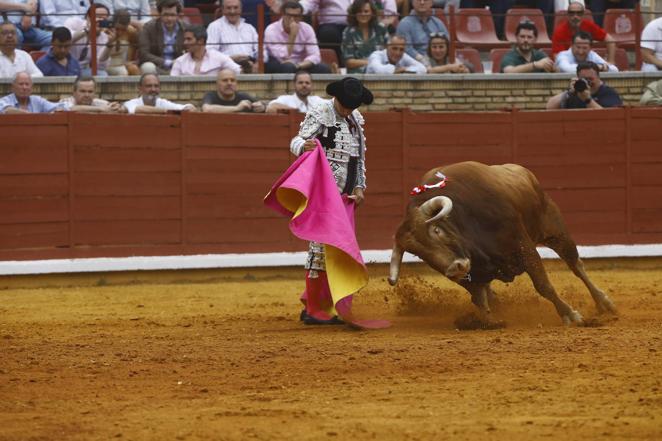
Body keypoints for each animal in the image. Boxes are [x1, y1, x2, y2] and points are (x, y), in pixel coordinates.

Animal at [390, 161, 616, 324]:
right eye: (418, 253)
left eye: (436, 230)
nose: (455, 268)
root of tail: (524, 172)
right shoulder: (469, 275)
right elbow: (479, 299)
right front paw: (489, 321)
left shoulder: (524, 247)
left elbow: (543, 285)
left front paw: (570, 315)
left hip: (554, 228)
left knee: (576, 265)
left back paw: (605, 304)